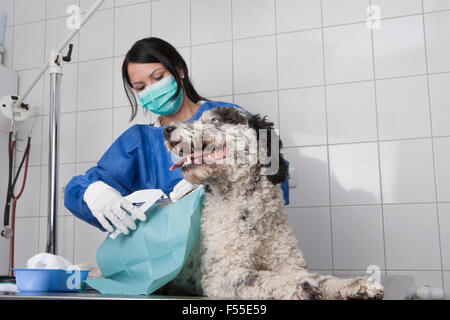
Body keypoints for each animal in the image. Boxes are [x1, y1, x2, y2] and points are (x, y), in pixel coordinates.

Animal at [162, 105, 384, 300]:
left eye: (215, 120)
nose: (166, 130)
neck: (252, 217)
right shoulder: (222, 274)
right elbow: (268, 279)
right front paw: (306, 287)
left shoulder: (289, 262)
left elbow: (319, 277)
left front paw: (355, 285)